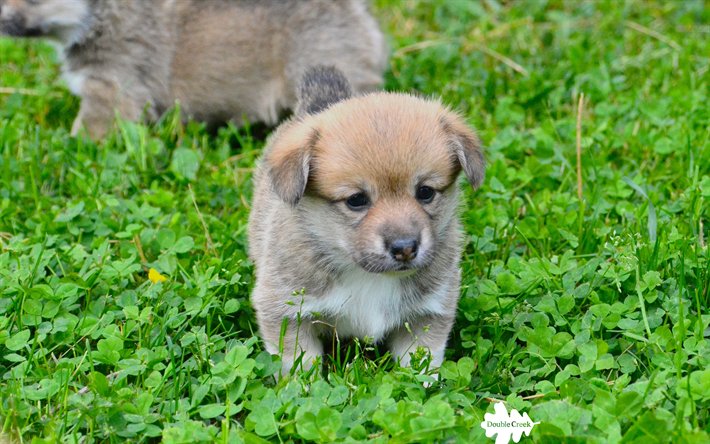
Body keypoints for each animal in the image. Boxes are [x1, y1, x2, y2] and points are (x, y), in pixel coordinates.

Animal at [248, 66, 486, 374]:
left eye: (425, 192)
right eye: (356, 199)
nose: (405, 248)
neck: (368, 277)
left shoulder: (429, 312)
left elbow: (421, 361)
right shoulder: (287, 313)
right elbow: (300, 363)